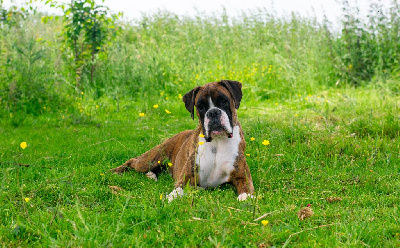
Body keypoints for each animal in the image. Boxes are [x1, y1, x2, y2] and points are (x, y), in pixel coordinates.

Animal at [110, 80, 253, 202]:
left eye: (224, 101)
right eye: (200, 107)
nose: (213, 113)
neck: (217, 143)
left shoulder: (242, 176)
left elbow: (246, 188)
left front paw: (246, 197)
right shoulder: (187, 177)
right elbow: (177, 190)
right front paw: (170, 198)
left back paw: (151, 175)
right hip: (149, 160)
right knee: (132, 161)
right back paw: (114, 171)